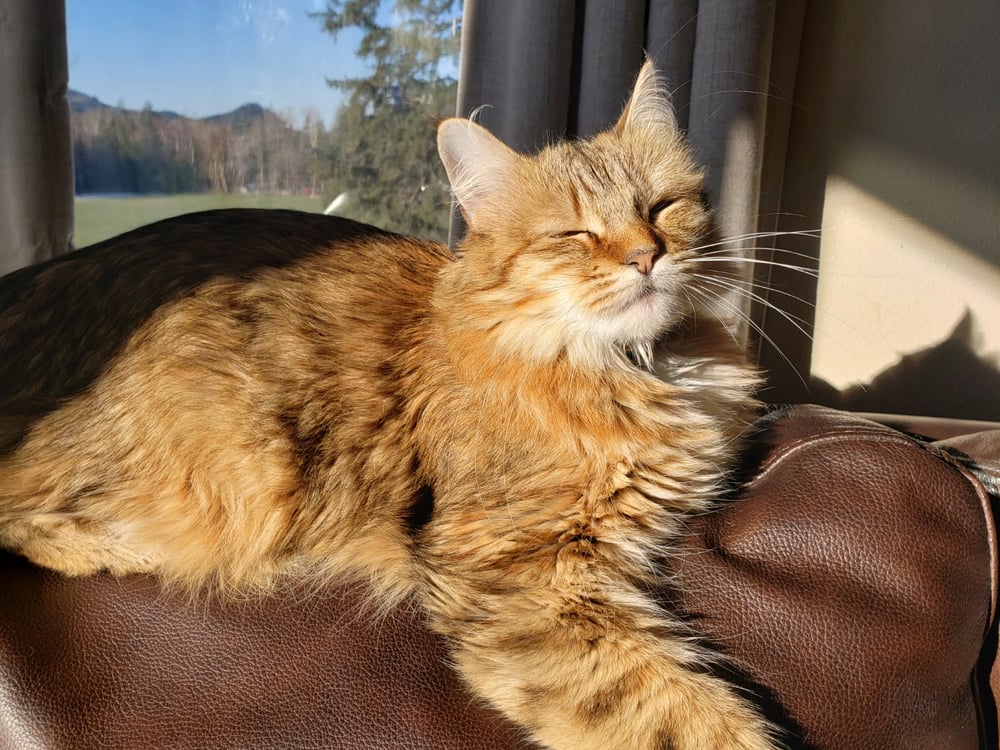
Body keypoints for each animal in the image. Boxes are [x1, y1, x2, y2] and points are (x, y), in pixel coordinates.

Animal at [0, 64, 772, 750]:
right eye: (573, 234)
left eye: (661, 208)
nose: (646, 257)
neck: (640, 369)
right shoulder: (517, 567)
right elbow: (673, 713)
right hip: (220, 477)